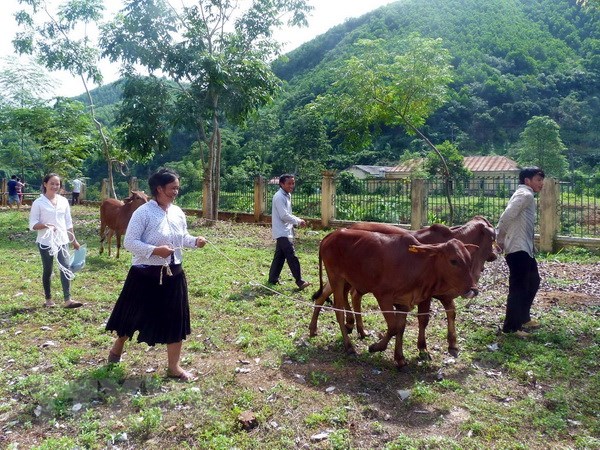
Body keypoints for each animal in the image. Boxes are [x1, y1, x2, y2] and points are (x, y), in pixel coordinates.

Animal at [310, 217, 496, 358]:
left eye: (468, 259)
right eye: (454, 261)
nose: (473, 289)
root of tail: (331, 235)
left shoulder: (413, 299)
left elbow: (406, 326)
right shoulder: (405, 296)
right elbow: (413, 322)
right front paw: (420, 348)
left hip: (345, 280)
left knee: (333, 296)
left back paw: (334, 329)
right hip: (338, 278)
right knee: (339, 305)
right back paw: (348, 341)